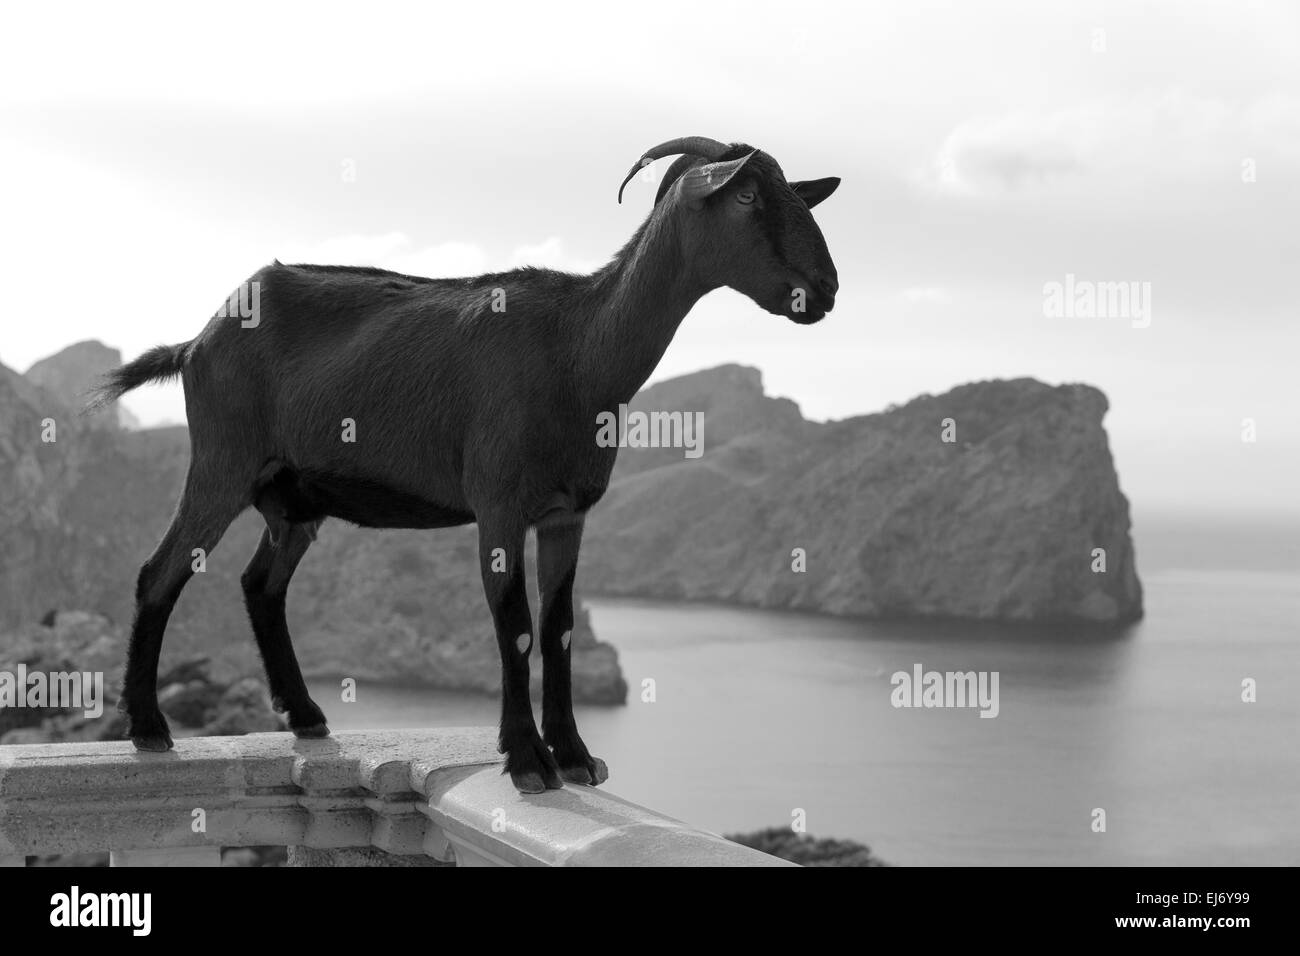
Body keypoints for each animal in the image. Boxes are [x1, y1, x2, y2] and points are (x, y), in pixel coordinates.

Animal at [94, 134, 842, 790]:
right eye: (745, 194)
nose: (825, 288)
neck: (579, 350)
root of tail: (196, 341)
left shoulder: (567, 514)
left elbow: (559, 627)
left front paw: (575, 756)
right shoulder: (499, 505)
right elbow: (514, 626)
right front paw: (528, 762)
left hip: (294, 496)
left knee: (260, 584)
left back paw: (304, 717)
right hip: (222, 461)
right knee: (158, 572)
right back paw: (149, 727)